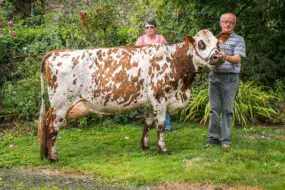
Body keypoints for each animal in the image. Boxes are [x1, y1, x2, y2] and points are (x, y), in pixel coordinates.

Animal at [38, 29, 229, 162]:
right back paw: (53, 157)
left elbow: (147, 123)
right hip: (61, 103)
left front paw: (145, 145)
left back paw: (46, 153)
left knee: (46, 122)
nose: (218, 57)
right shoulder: (160, 98)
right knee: (53, 126)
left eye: (218, 44)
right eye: (201, 44)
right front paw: (162, 149)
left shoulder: (150, 102)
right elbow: (160, 125)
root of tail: (55, 52)